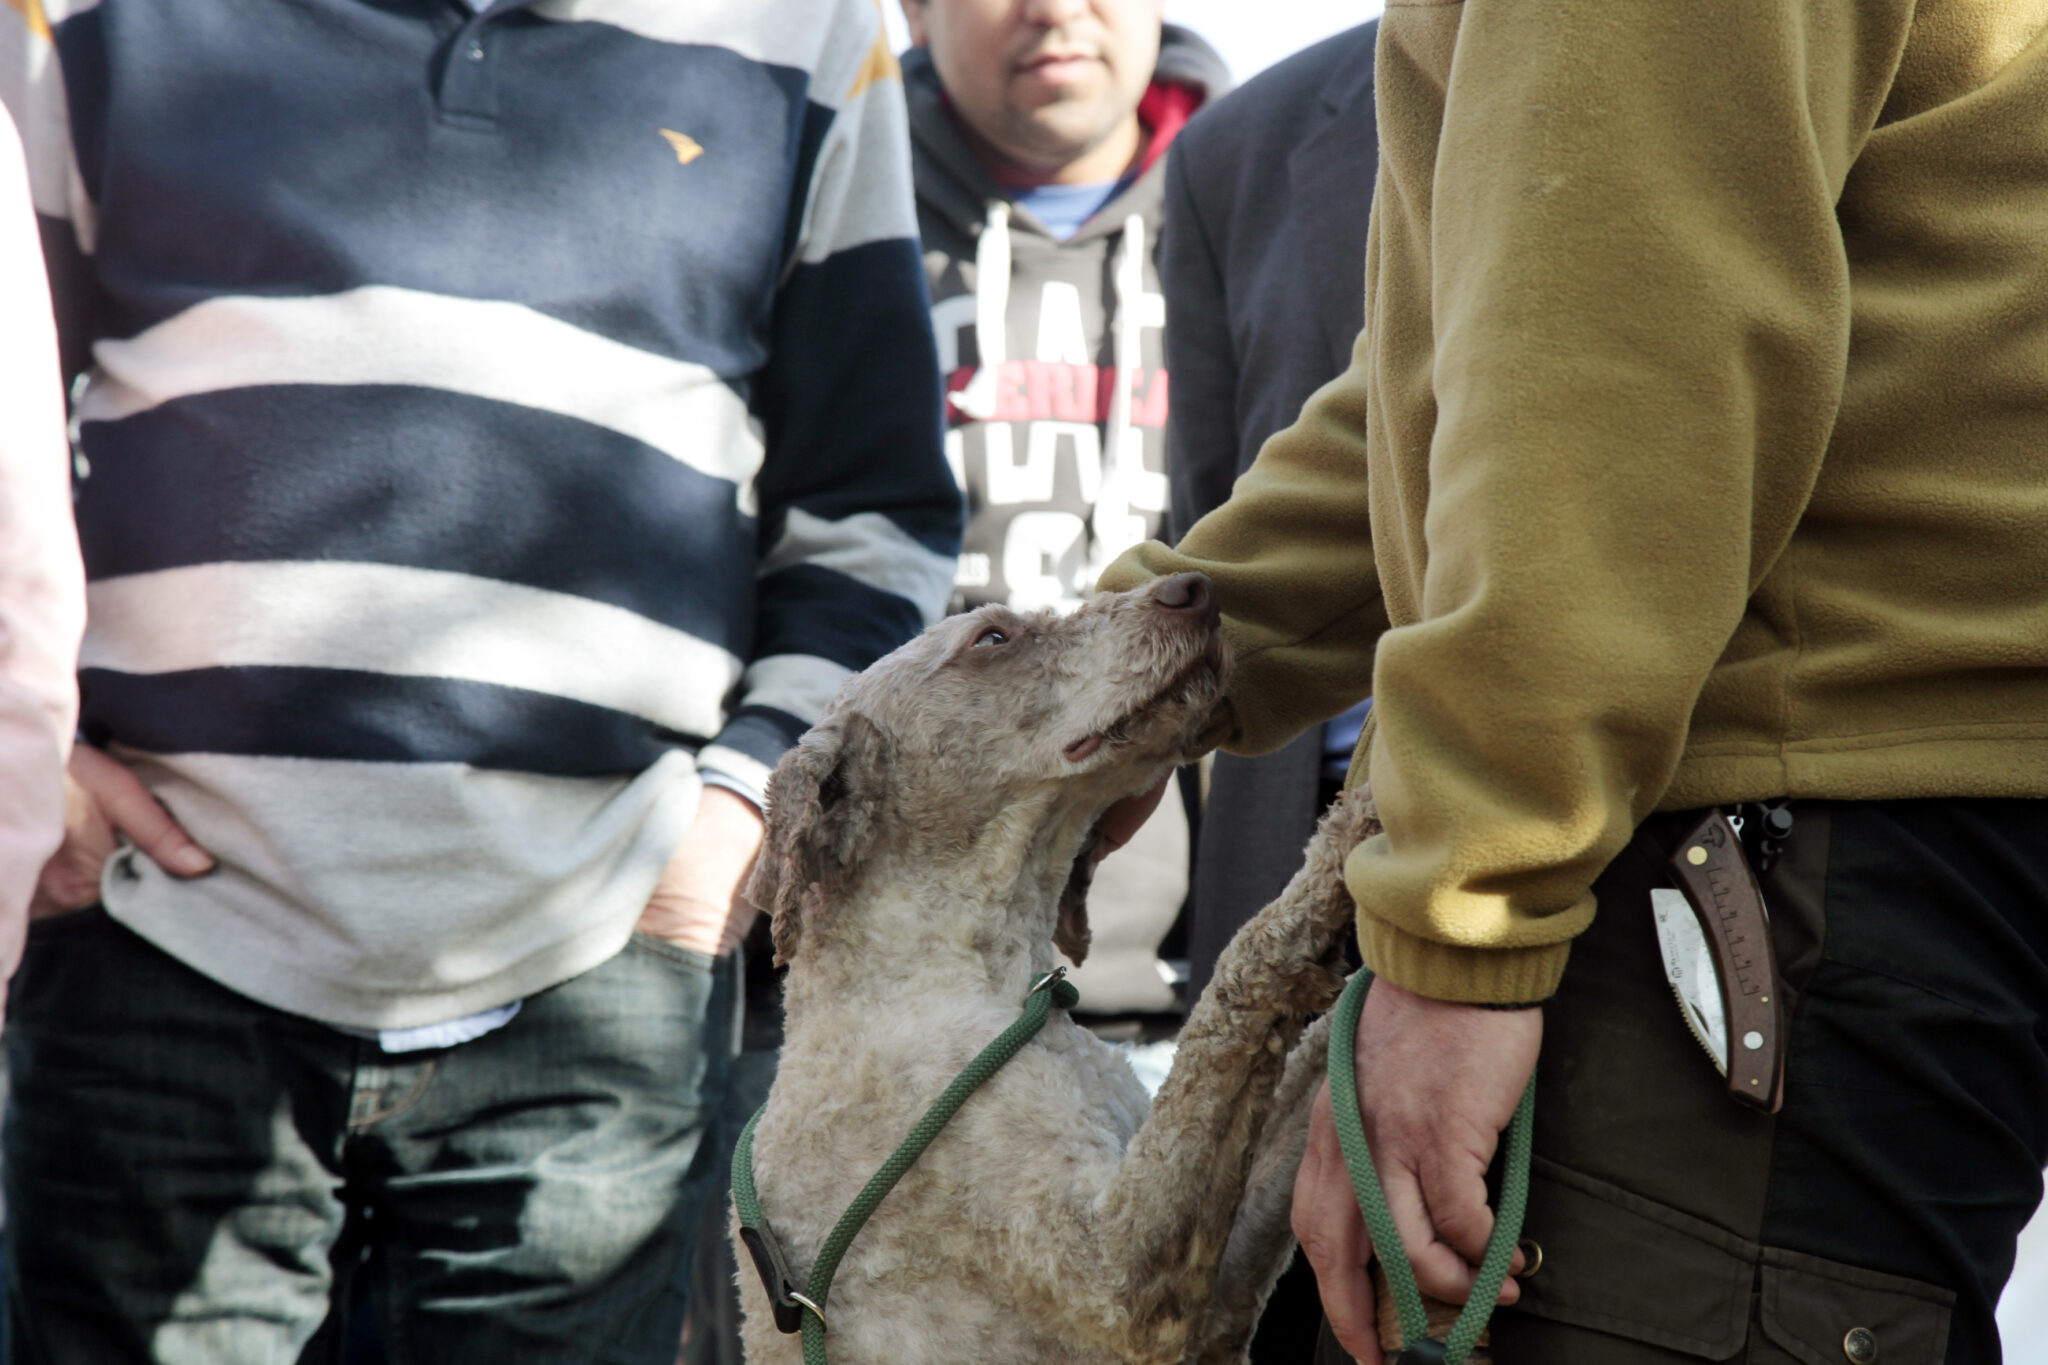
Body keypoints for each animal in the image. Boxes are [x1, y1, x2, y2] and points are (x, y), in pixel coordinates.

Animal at [733, 573, 1376, 1358]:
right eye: (992, 638)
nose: (1193, 588)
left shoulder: (1219, 1297)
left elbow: (1312, 1065)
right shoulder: (1116, 1273)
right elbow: (1238, 976)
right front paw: (1347, 832)